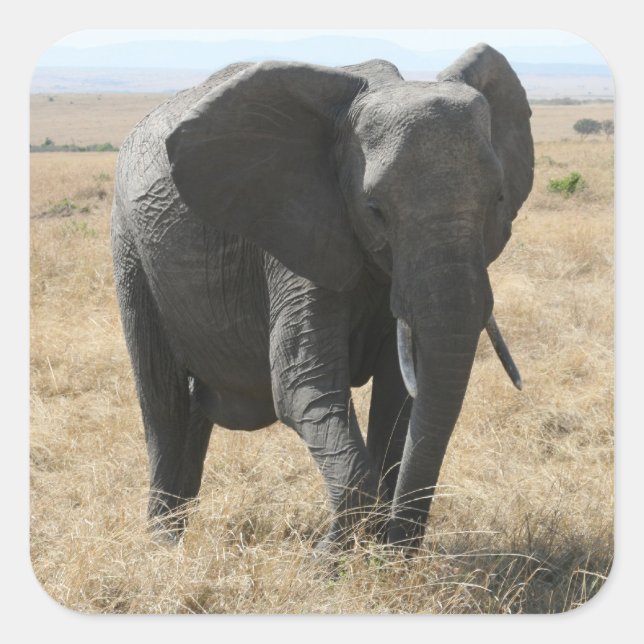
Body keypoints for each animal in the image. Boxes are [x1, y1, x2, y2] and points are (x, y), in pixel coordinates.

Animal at [111, 43, 533, 552]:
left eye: (498, 199)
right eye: (375, 210)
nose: (395, 545)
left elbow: (399, 395)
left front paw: (376, 555)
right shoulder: (293, 234)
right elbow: (302, 384)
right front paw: (331, 560)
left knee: (190, 408)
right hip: (131, 248)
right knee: (163, 402)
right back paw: (164, 546)